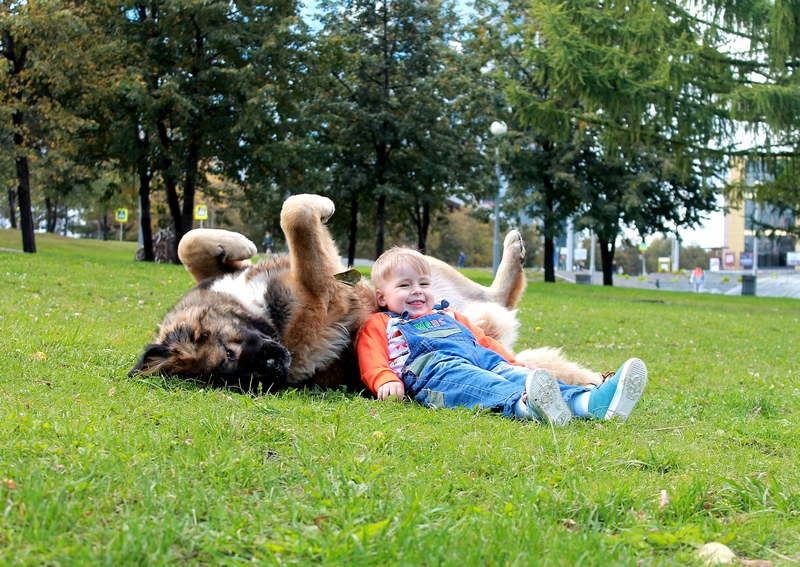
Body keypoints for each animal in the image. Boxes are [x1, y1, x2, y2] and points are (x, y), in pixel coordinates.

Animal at [130, 193, 600, 392]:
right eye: (239, 377)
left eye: (230, 354)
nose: (277, 364)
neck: (263, 315)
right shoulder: (325, 293)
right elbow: (295, 217)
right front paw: (318, 205)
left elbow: (188, 241)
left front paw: (240, 244)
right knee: (509, 321)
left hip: (429, 272)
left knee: (498, 299)